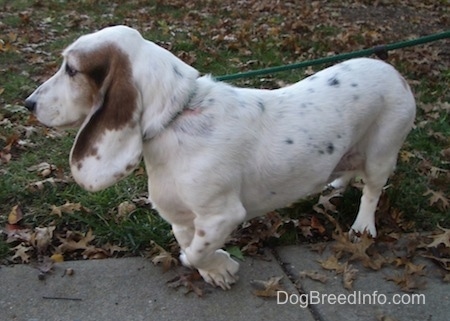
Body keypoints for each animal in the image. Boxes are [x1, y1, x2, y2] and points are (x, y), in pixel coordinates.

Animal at [24, 26, 416, 288]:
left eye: (71, 69)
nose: (28, 104)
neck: (175, 119)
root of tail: (394, 72)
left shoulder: (222, 215)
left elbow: (194, 251)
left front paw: (218, 265)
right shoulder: (181, 216)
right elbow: (190, 243)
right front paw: (215, 270)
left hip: (382, 153)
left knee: (372, 191)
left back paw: (363, 226)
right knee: (350, 171)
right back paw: (336, 185)